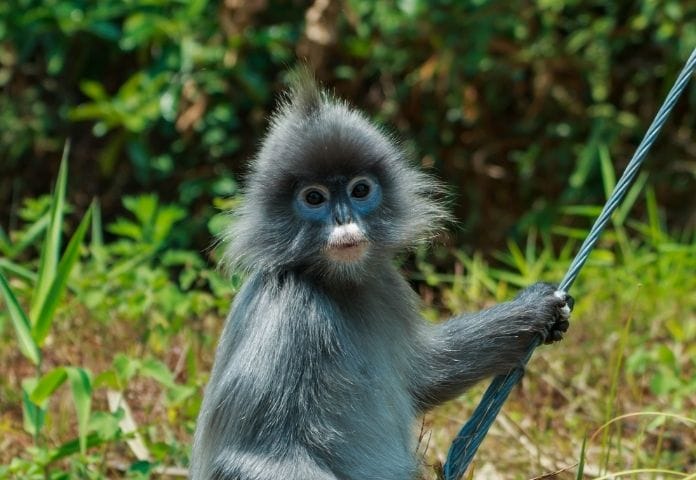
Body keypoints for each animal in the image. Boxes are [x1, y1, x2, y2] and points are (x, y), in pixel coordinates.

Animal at [189, 72, 572, 480]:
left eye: (360, 190)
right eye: (314, 198)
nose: (344, 218)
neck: (336, 285)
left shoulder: (386, 283)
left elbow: (426, 374)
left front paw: (535, 309)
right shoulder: (286, 308)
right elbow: (248, 455)